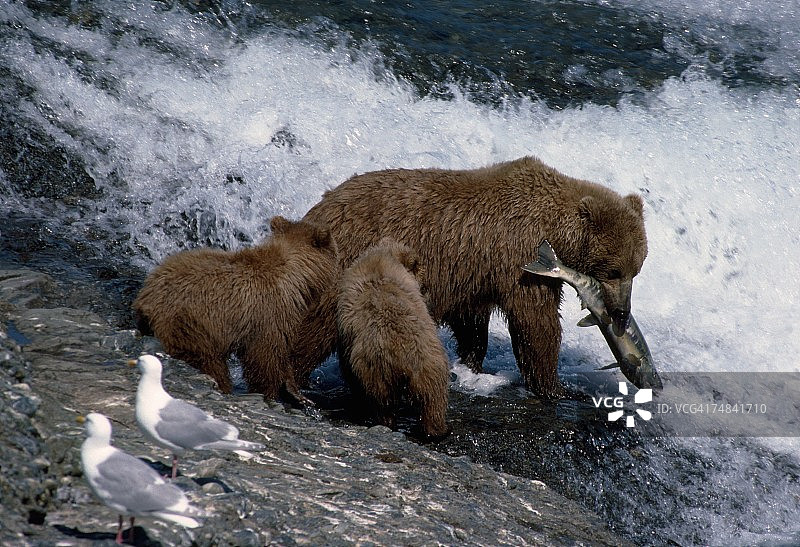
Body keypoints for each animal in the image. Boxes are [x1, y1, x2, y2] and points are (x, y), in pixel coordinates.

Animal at [133, 215, 338, 402]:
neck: (295, 275)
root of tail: (145, 298)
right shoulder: (269, 312)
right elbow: (266, 357)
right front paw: (275, 392)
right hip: (191, 327)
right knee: (210, 363)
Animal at [292, 156, 647, 398]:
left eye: (636, 269)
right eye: (614, 271)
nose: (621, 312)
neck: (553, 229)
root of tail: (317, 209)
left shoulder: (474, 274)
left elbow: (472, 324)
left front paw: (472, 365)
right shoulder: (520, 260)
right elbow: (535, 323)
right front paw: (554, 385)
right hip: (348, 260)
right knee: (316, 324)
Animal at [336, 238, 450, 439]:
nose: (427, 290)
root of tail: (404, 357)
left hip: (376, 369)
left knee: (385, 402)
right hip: (427, 365)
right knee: (432, 399)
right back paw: (438, 429)